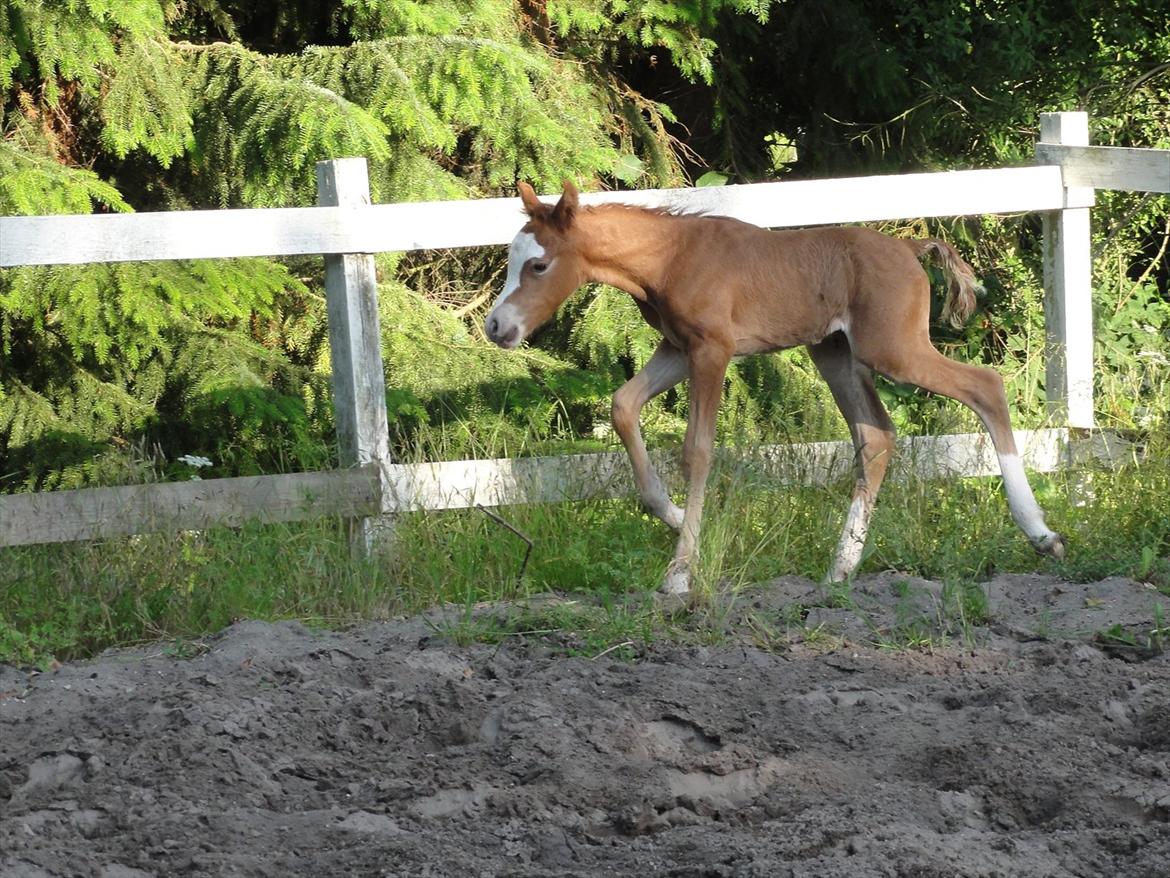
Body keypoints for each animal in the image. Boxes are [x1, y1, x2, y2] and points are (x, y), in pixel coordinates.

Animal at [485, 181, 1065, 595]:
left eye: (539, 264)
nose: (496, 327)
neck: (670, 258)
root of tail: (909, 246)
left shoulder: (712, 350)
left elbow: (697, 450)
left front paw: (680, 572)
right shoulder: (676, 348)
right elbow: (623, 405)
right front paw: (676, 518)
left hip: (894, 351)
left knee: (985, 386)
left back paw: (1042, 535)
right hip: (835, 353)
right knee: (876, 437)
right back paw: (840, 568)